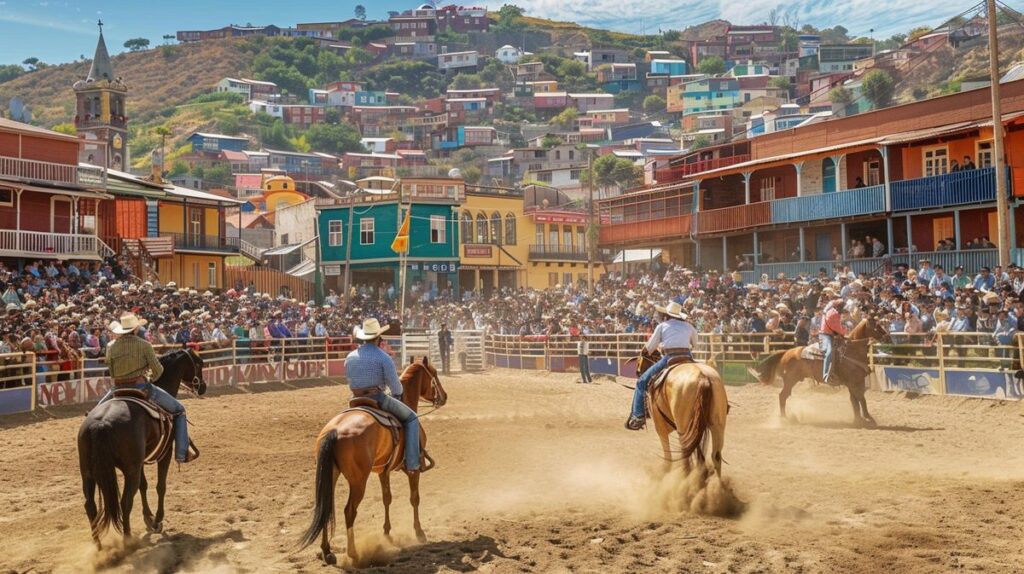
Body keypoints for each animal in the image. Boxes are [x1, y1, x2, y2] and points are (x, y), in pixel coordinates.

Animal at [77, 343, 205, 544]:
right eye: (200, 363)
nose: (203, 387)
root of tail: (101, 423)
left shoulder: (141, 460)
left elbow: (143, 486)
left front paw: (148, 518)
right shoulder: (164, 453)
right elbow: (160, 486)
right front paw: (158, 520)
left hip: (88, 472)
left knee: (90, 505)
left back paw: (98, 545)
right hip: (130, 470)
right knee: (125, 502)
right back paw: (128, 540)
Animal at [292, 358, 444, 564]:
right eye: (434, 373)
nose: (444, 397)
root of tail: (335, 430)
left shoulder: (383, 471)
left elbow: (387, 498)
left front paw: (387, 533)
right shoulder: (413, 470)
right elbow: (414, 498)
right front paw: (419, 533)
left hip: (330, 475)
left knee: (325, 508)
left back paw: (327, 552)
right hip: (358, 481)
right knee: (349, 511)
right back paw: (353, 553)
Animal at [753, 313, 888, 425]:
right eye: (876, 325)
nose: (887, 336)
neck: (851, 350)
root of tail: (786, 352)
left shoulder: (853, 382)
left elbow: (855, 401)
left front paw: (858, 420)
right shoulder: (854, 382)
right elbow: (861, 399)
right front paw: (869, 418)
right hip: (790, 380)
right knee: (782, 396)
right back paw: (785, 419)